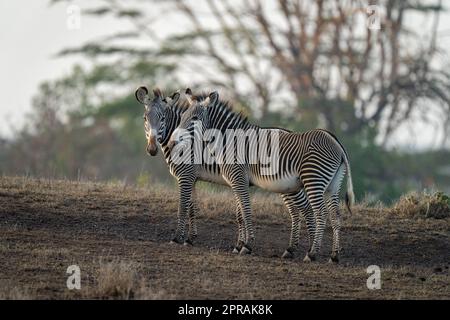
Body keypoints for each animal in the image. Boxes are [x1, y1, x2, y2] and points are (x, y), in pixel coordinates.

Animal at [170, 88, 356, 262]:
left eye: (194, 118)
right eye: (182, 116)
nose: (172, 143)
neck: (228, 140)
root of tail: (336, 142)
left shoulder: (238, 178)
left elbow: (246, 211)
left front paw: (247, 245)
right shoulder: (237, 181)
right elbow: (240, 214)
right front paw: (240, 245)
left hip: (313, 180)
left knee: (321, 214)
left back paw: (312, 253)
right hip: (333, 185)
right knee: (335, 216)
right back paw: (334, 256)